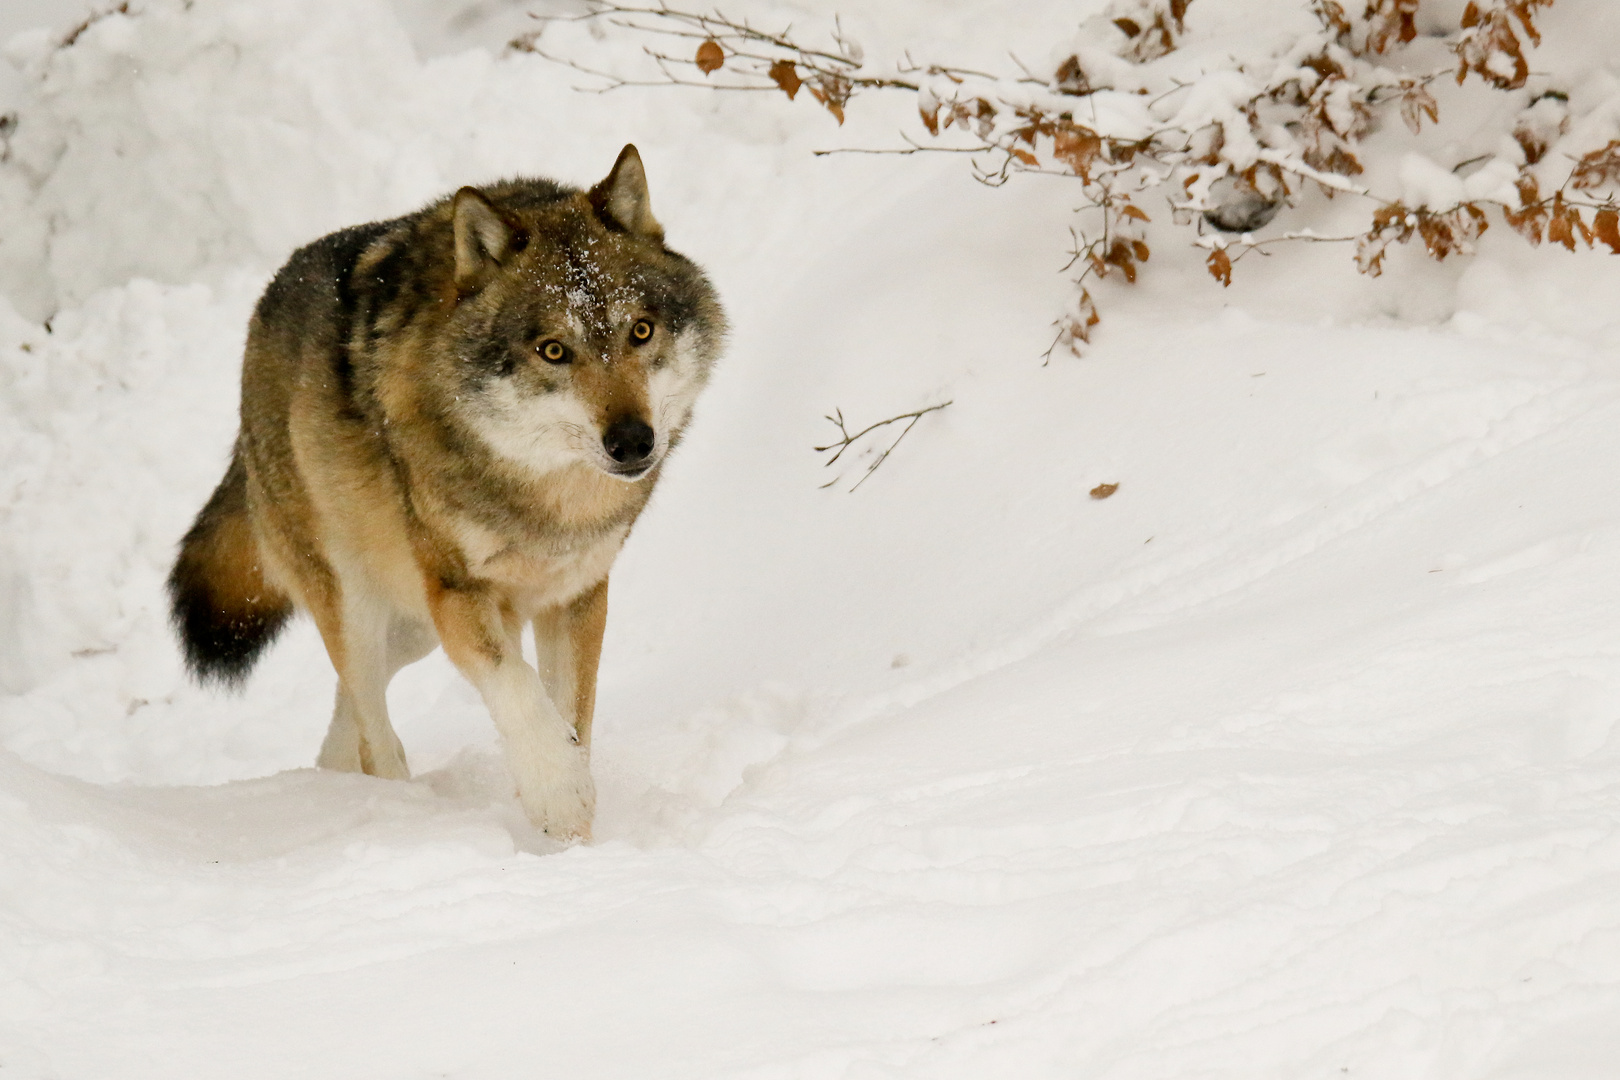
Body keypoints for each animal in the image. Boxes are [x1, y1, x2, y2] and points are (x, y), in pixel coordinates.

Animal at [167, 143, 725, 841]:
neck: (544, 498)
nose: (633, 442)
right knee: (374, 728)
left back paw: (332, 779)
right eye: (553, 350)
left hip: (412, 626)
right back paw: (393, 808)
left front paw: (574, 840)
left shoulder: (577, 596)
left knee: (352, 704)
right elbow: (519, 691)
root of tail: (264, 307)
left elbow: (572, 715)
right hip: (359, 603)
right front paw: (560, 797)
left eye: (641, 332)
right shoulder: (460, 593)